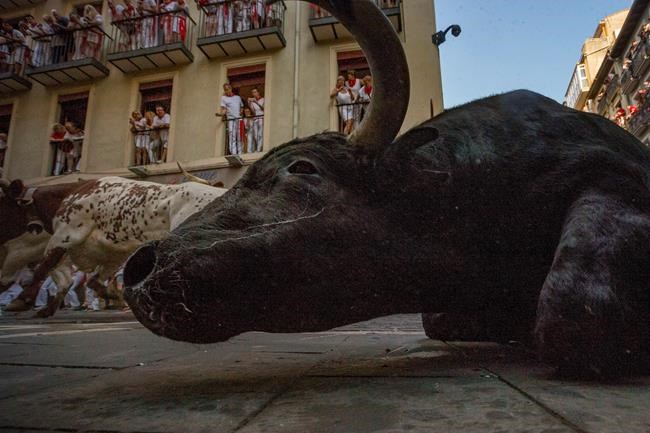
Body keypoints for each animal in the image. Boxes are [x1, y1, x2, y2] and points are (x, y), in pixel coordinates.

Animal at [1, 176, 226, 317]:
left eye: (1, 203)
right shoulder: (113, 254)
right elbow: (85, 281)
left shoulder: (65, 235)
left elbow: (42, 270)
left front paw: (23, 300)